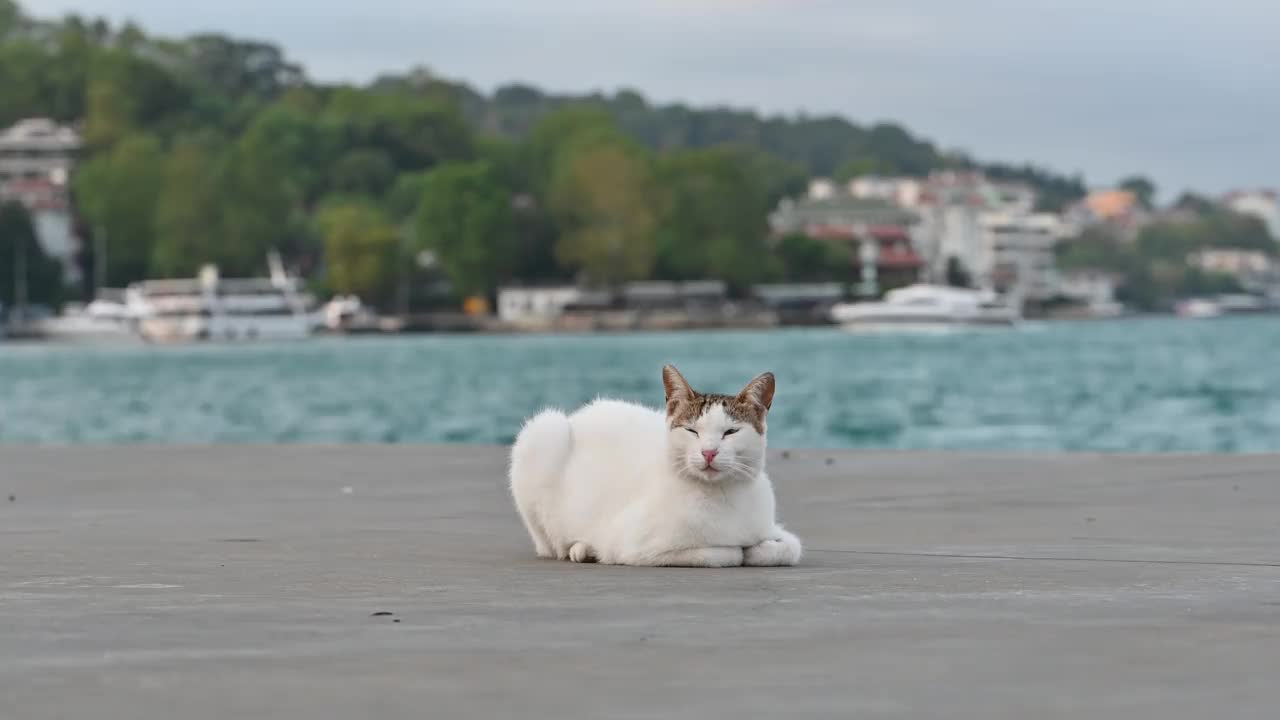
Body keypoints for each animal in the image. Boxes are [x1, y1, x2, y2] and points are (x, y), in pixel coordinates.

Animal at [509, 363, 798, 566]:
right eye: (692, 431)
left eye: (730, 432)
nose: (709, 452)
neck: (722, 495)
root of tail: (579, 414)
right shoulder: (633, 546)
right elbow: (724, 553)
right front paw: (738, 549)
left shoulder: (775, 531)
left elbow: (787, 548)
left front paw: (761, 548)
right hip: (544, 430)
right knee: (552, 544)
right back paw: (579, 547)